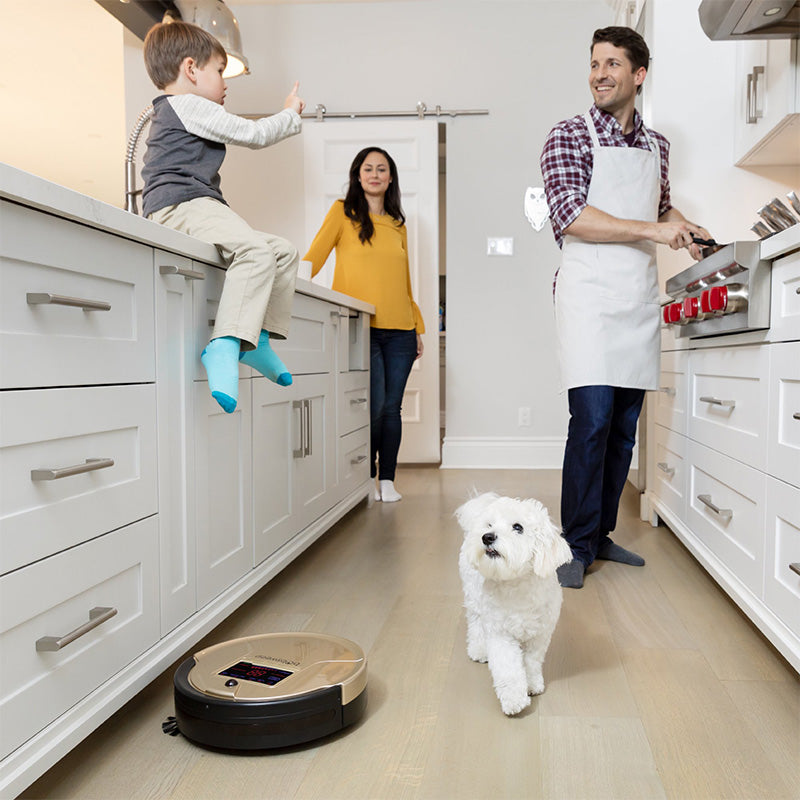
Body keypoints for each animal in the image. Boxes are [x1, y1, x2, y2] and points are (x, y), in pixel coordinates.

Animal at [454, 490, 572, 716]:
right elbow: (508, 669)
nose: (487, 536)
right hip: (474, 598)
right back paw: (479, 650)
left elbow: (532, 662)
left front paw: (533, 684)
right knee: (475, 624)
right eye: (490, 525)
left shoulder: (539, 635)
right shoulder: (501, 635)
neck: (516, 584)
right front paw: (514, 700)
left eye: (518, 527)